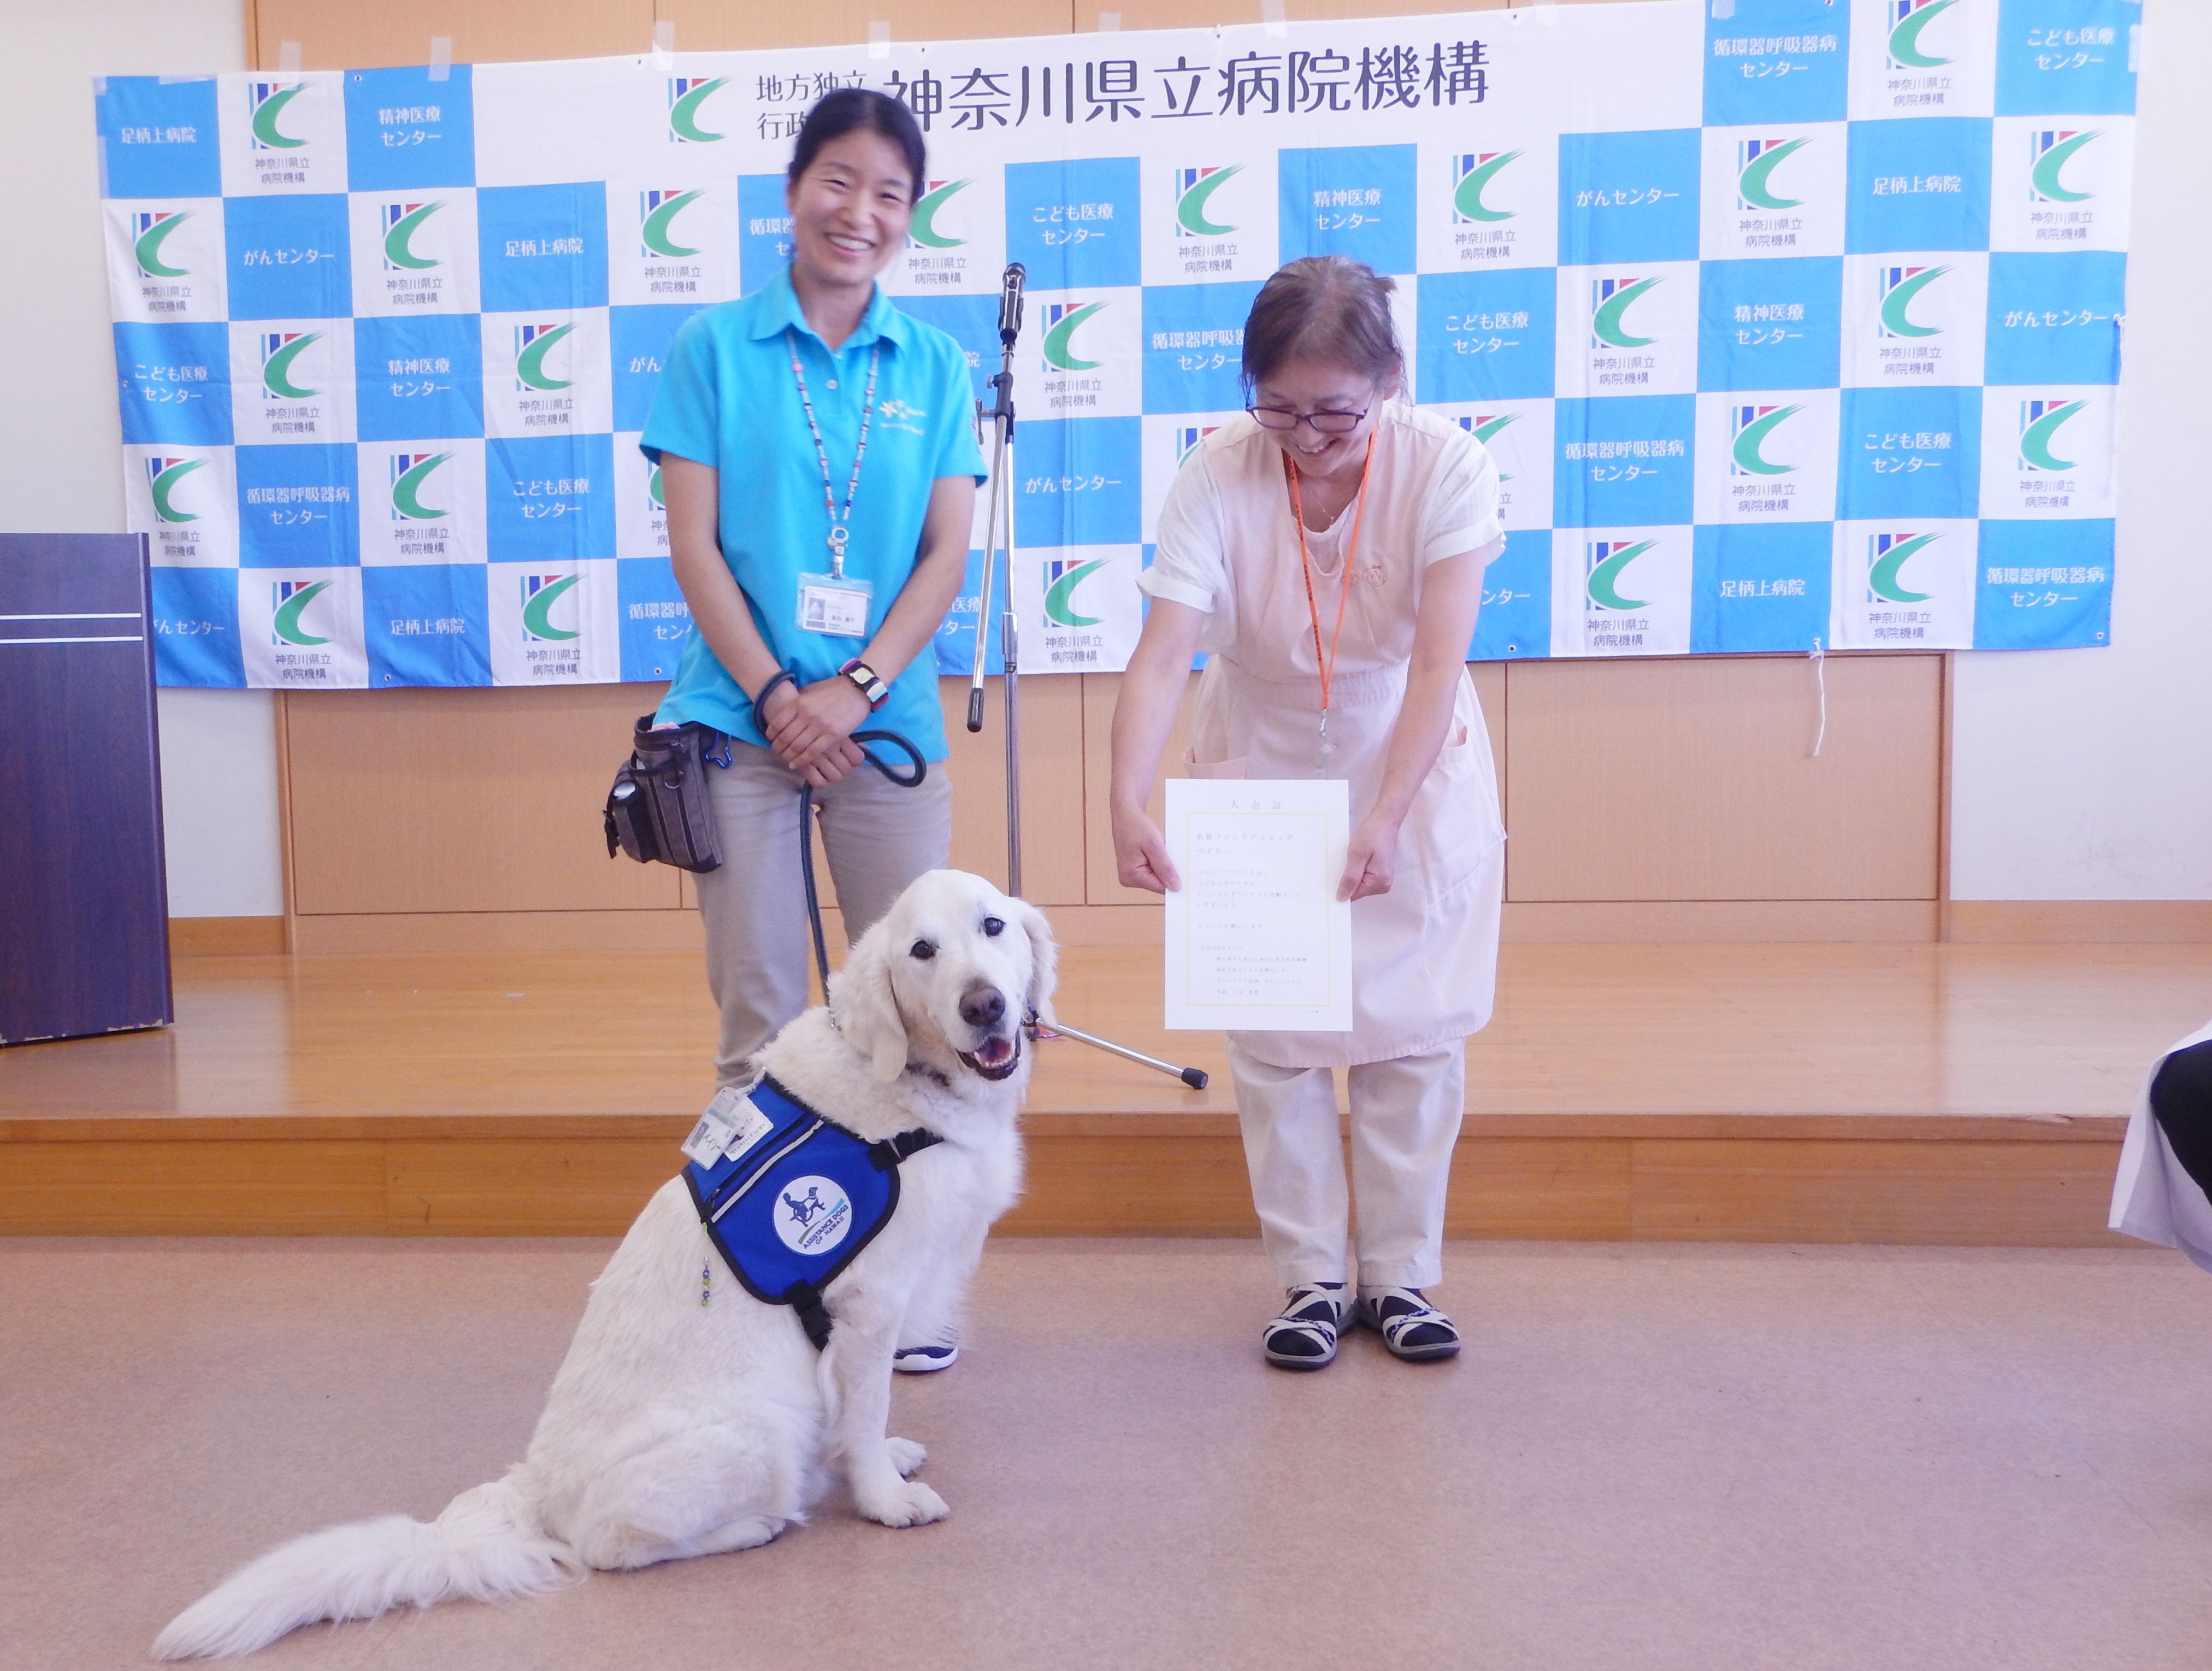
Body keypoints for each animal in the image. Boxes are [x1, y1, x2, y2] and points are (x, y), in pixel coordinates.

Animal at [156, 876, 1053, 1664]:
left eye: (993, 927)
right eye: (922, 950)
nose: (985, 1006)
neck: (904, 1084)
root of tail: (536, 1491)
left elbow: (865, 1422)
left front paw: (889, 1459)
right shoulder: (868, 1306)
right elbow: (862, 1417)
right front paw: (884, 1501)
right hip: (758, 1429)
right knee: (609, 1547)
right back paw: (755, 1524)